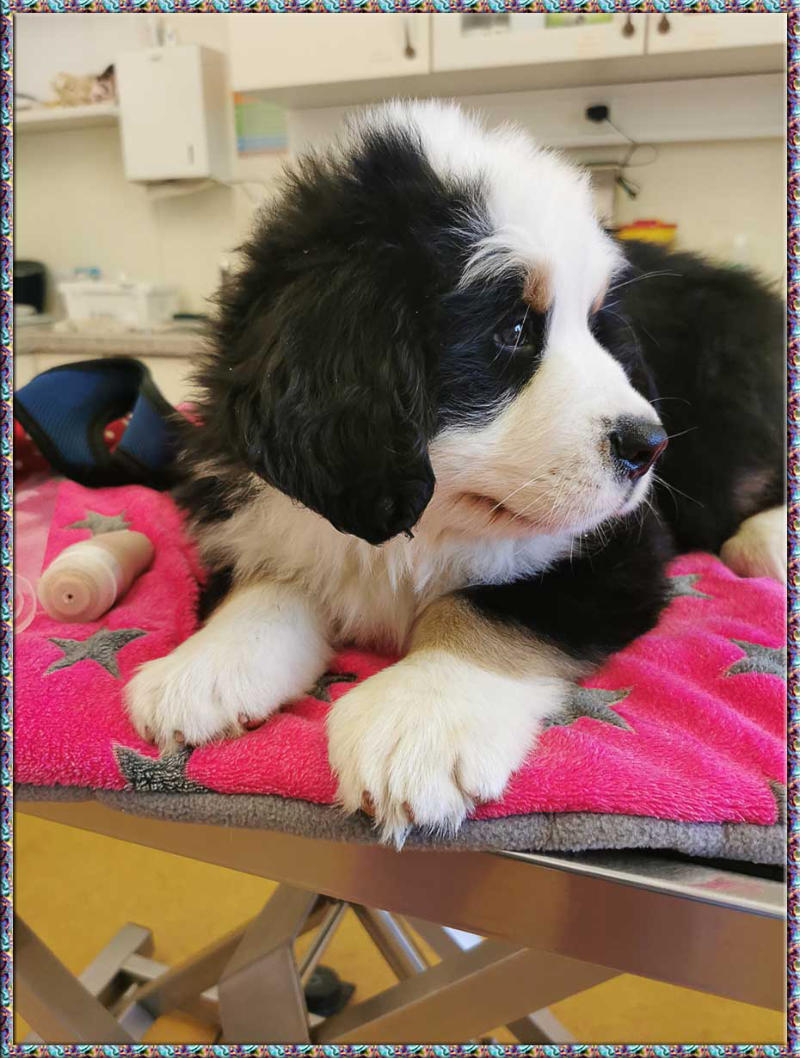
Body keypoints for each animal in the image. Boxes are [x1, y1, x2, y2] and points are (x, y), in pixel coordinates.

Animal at [125, 101, 785, 845]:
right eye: (514, 330)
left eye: (597, 328)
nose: (648, 445)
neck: (429, 526)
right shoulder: (263, 495)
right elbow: (269, 578)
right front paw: (205, 668)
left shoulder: (621, 542)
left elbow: (484, 606)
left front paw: (418, 718)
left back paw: (765, 542)